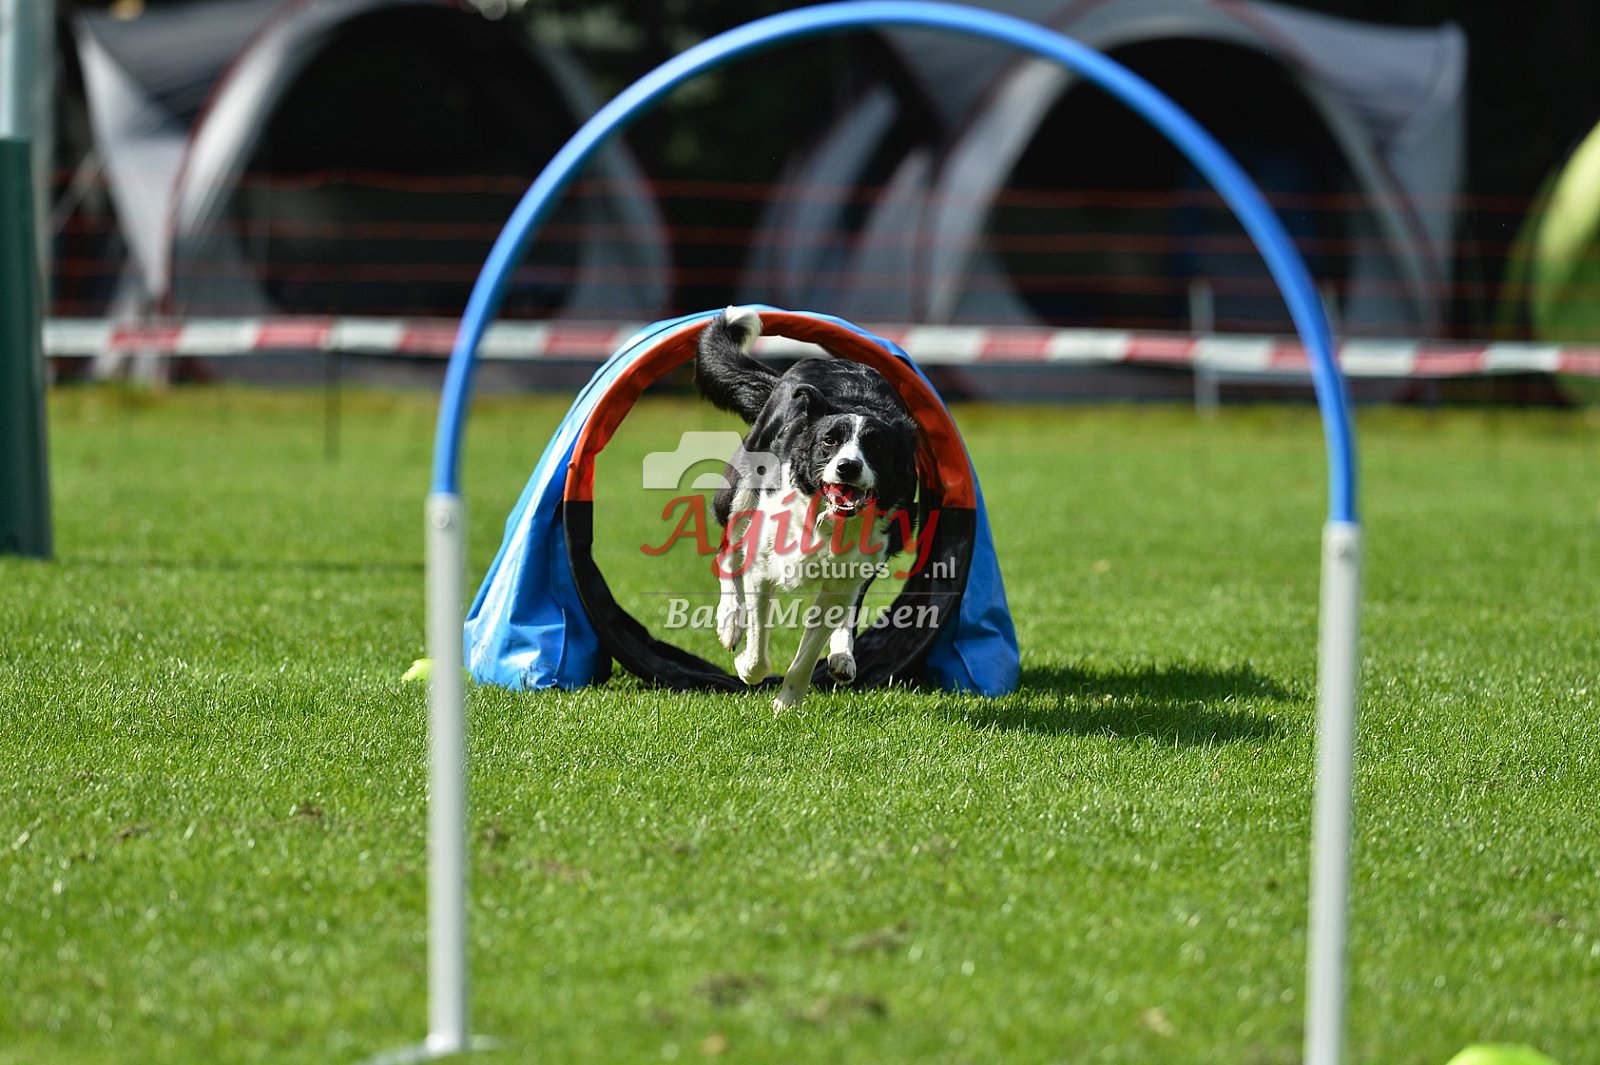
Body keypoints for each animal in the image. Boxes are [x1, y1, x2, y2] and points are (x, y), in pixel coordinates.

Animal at [694, 307, 920, 714]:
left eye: (876, 446)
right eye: (829, 441)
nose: (848, 467)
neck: (826, 520)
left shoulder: (847, 574)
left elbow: (809, 650)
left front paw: (786, 703)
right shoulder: (763, 566)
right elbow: (759, 644)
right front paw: (746, 666)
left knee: (851, 606)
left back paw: (843, 657)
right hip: (740, 490)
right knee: (726, 553)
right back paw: (729, 621)